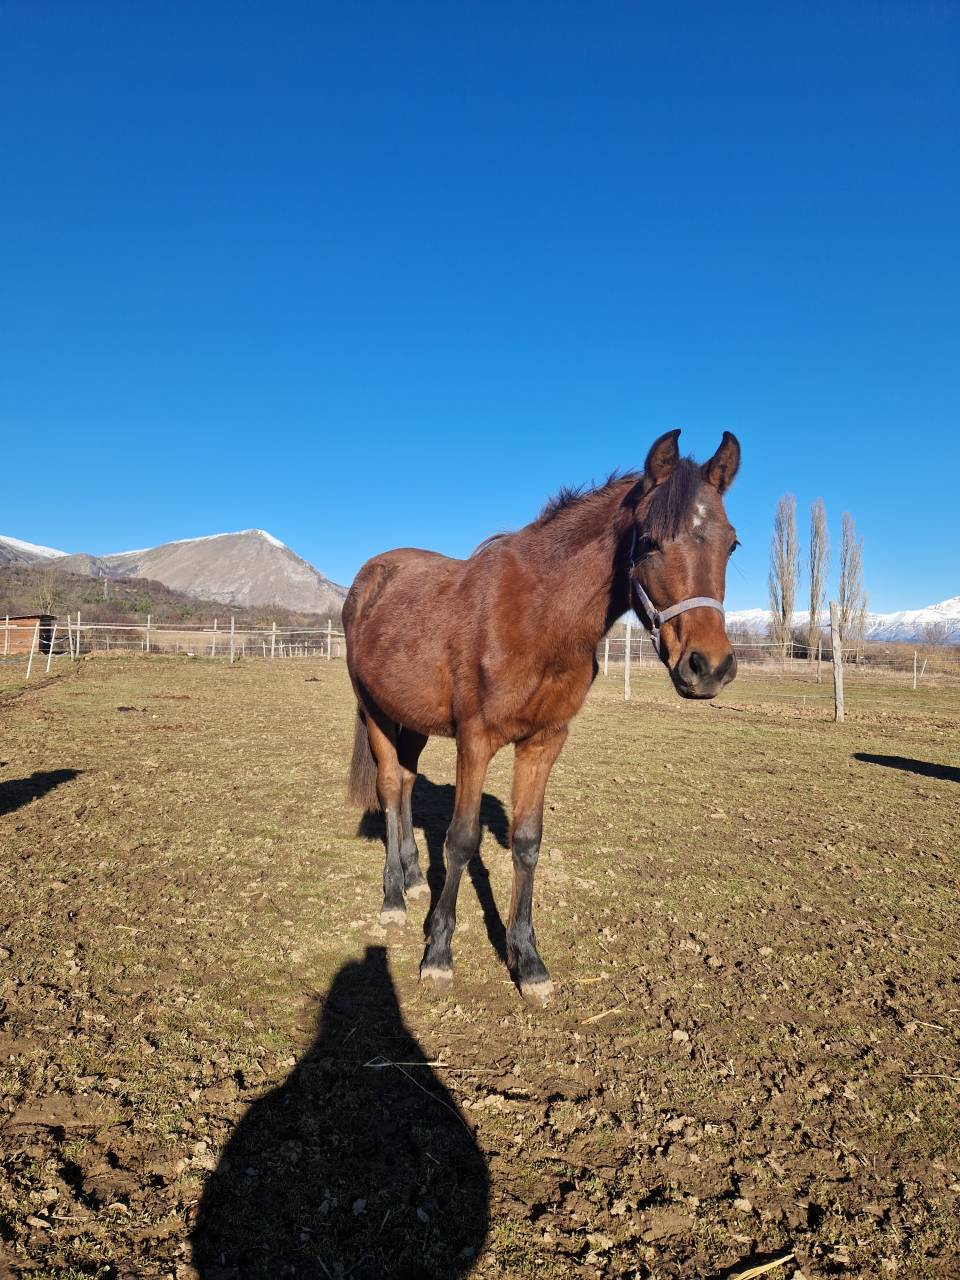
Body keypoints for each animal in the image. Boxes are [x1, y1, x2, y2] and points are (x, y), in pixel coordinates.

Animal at [342, 429, 740, 1003]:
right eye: (649, 541)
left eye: (731, 543)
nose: (709, 667)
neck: (538, 617)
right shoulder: (476, 740)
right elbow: (461, 840)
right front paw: (438, 955)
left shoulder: (544, 741)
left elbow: (528, 842)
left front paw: (526, 959)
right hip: (375, 710)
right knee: (391, 785)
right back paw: (394, 897)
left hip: (411, 717)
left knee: (408, 781)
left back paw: (415, 878)